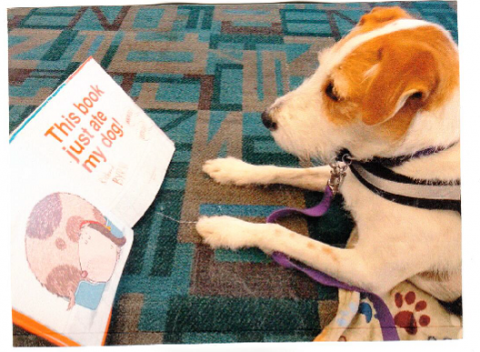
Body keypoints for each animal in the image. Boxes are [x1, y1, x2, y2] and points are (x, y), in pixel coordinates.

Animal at [196, 6, 462, 306]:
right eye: (320, 65)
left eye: (334, 91)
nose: (265, 117)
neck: (412, 157)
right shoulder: (345, 176)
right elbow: (286, 171)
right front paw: (235, 170)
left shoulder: (367, 270)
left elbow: (279, 231)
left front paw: (228, 228)